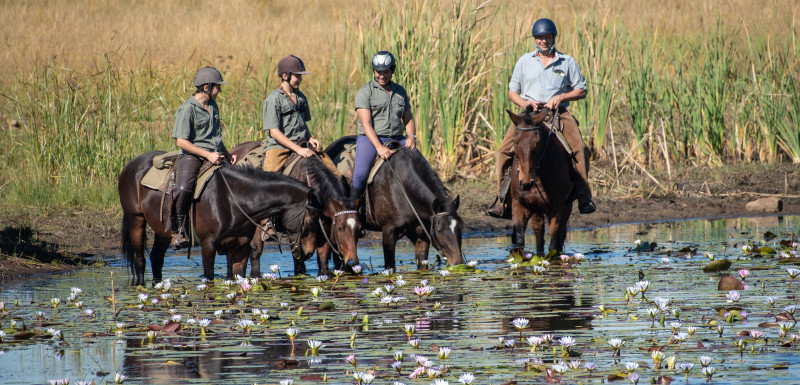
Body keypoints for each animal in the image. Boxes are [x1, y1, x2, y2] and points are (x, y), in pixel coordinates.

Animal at [119, 150, 318, 284]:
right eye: (310, 219)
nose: (309, 253)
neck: (233, 199)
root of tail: (132, 164)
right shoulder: (208, 245)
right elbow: (209, 277)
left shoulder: (241, 247)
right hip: (136, 220)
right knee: (140, 261)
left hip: (162, 231)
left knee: (156, 258)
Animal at [228, 141, 360, 276]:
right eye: (340, 228)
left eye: (359, 228)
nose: (352, 262)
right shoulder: (293, 232)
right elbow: (298, 261)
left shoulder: (324, 230)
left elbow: (322, 260)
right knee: (254, 251)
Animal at [324, 136, 462, 268]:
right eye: (439, 230)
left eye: (460, 227)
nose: (458, 263)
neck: (402, 187)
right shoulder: (388, 232)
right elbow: (390, 266)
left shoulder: (421, 236)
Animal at [506, 106, 576, 255]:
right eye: (515, 142)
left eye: (537, 143)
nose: (525, 182)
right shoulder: (521, 202)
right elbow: (520, 237)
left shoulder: (558, 206)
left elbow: (554, 241)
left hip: (566, 207)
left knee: (560, 234)